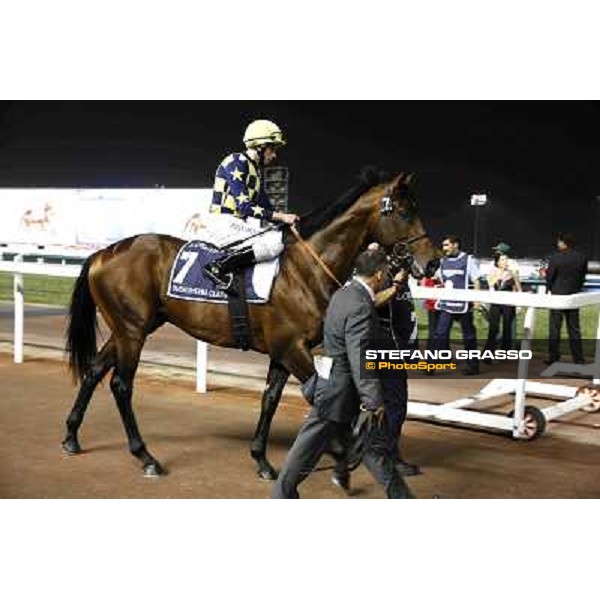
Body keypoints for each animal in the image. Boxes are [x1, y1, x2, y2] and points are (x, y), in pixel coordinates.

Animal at [62, 169, 436, 478]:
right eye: (405, 212)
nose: (432, 263)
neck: (305, 270)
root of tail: (102, 254)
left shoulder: (283, 351)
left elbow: (271, 398)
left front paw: (262, 459)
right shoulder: (292, 347)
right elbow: (320, 392)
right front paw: (341, 447)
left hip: (132, 327)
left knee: (94, 371)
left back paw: (71, 436)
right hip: (132, 331)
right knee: (121, 385)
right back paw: (146, 457)